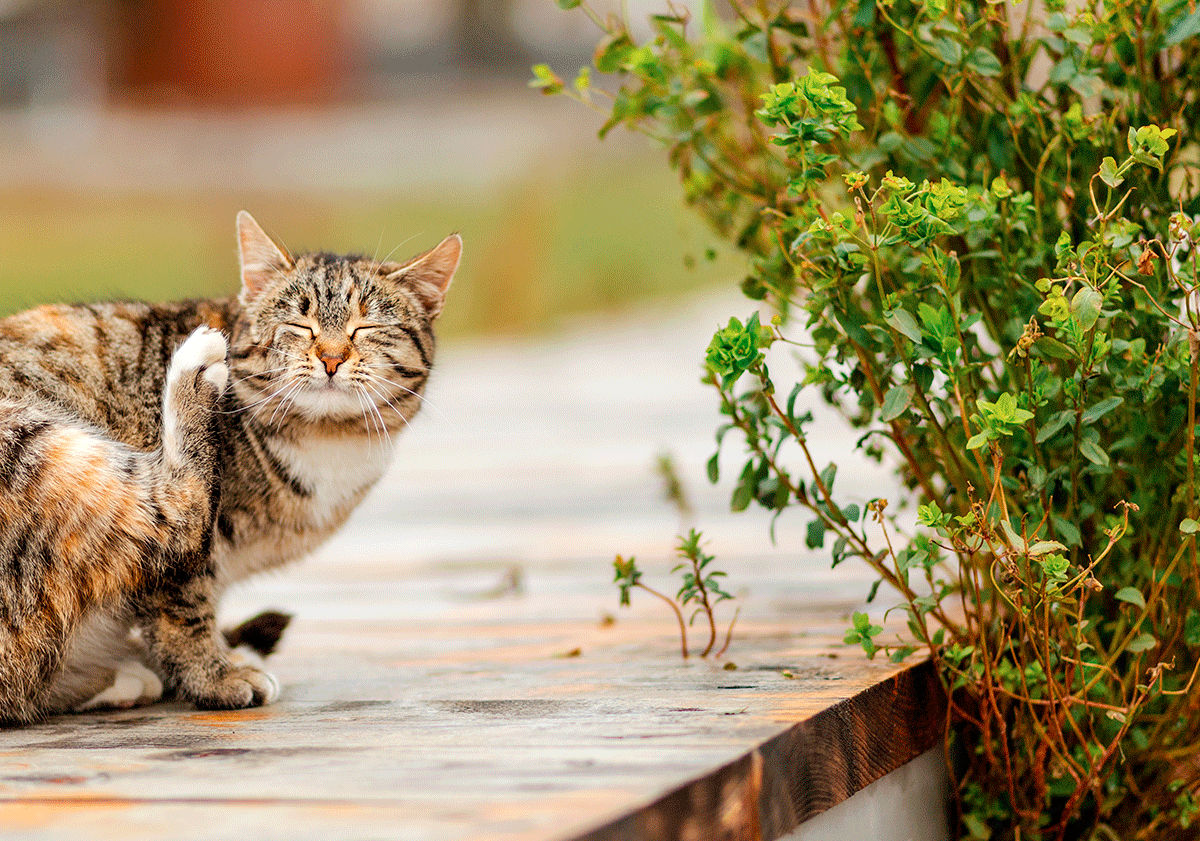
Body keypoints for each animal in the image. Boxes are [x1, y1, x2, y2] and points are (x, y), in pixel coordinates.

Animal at [0, 211, 458, 719]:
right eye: (300, 324)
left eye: (367, 327)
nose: (332, 356)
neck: (328, 439)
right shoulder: (187, 575)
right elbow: (182, 610)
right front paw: (214, 676)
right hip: (41, 449)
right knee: (174, 513)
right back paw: (192, 374)